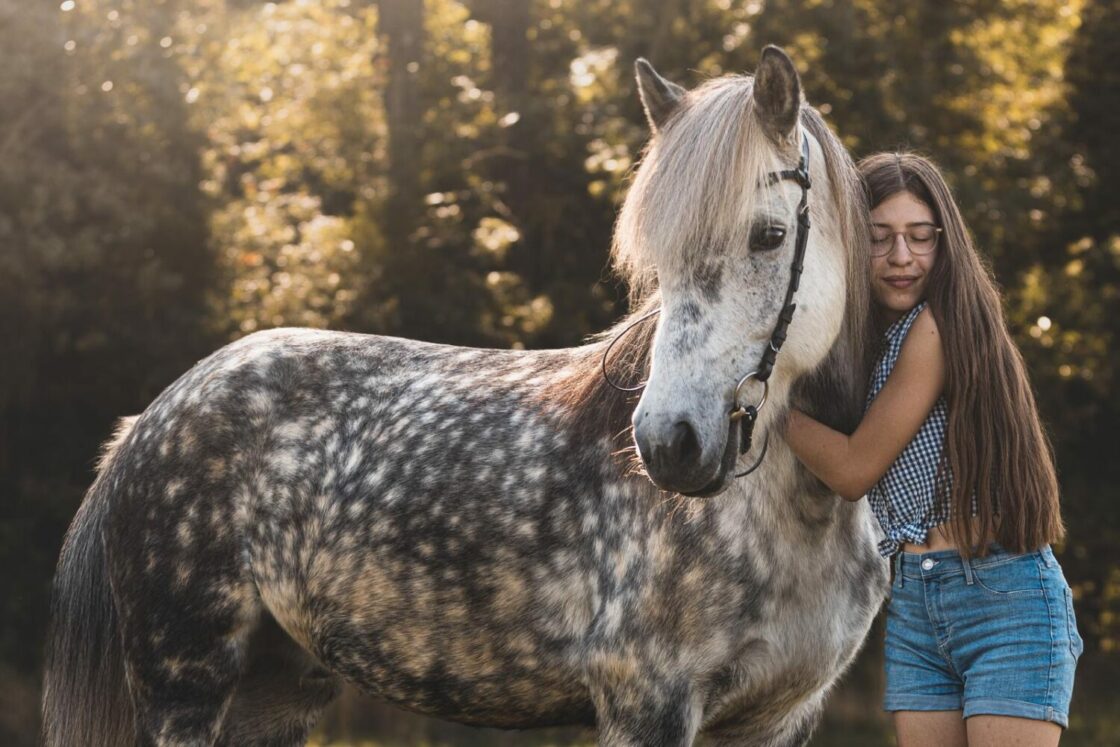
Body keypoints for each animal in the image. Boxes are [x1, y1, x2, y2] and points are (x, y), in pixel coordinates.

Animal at [43, 46, 887, 747]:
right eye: (656, 259)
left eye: (768, 235)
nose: (668, 443)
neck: (791, 516)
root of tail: (152, 418)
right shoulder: (648, 704)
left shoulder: (779, 719)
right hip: (185, 685)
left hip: (272, 695)